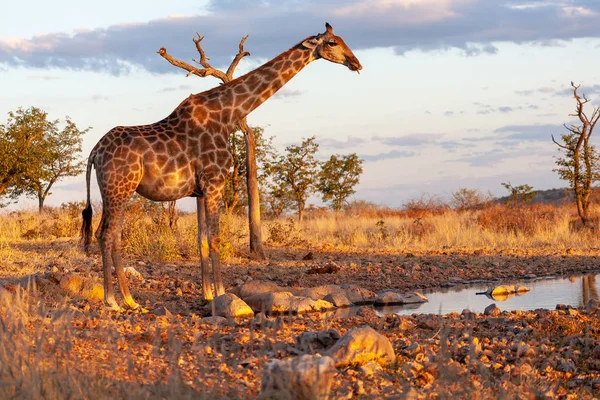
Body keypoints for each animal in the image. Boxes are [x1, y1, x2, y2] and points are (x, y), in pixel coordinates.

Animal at [79, 22, 360, 310]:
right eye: (332, 43)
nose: (356, 63)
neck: (226, 115)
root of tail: (94, 152)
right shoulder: (215, 181)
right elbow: (215, 238)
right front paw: (222, 292)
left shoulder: (200, 191)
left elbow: (201, 240)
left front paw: (207, 295)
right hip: (120, 188)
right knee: (106, 235)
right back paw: (114, 300)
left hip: (116, 190)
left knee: (110, 236)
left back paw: (129, 299)